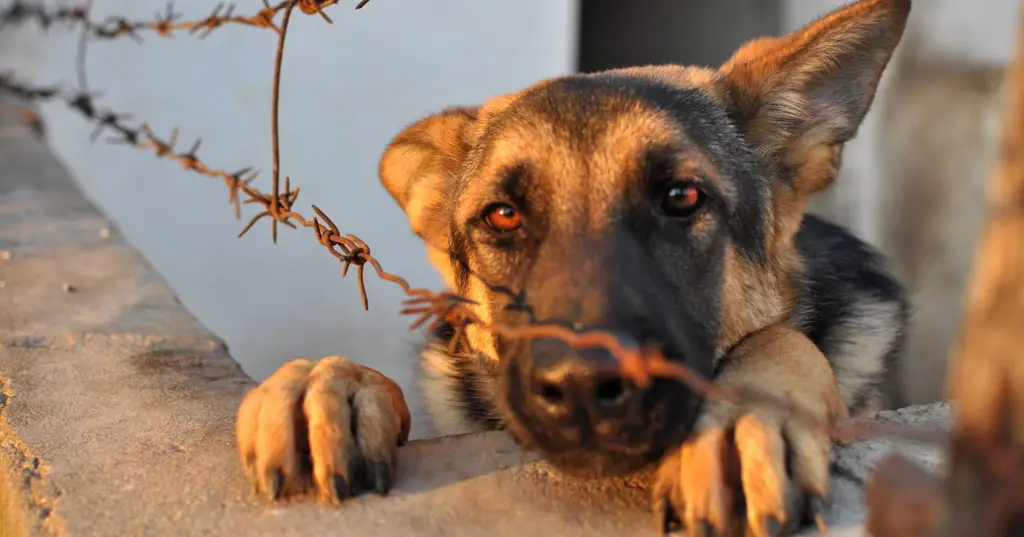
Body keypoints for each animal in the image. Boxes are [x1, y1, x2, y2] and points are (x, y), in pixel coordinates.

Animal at [234, 1, 913, 532]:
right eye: (503, 216)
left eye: (681, 198)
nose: (584, 386)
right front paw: (327, 380)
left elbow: (780, 342)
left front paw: (745, 414)